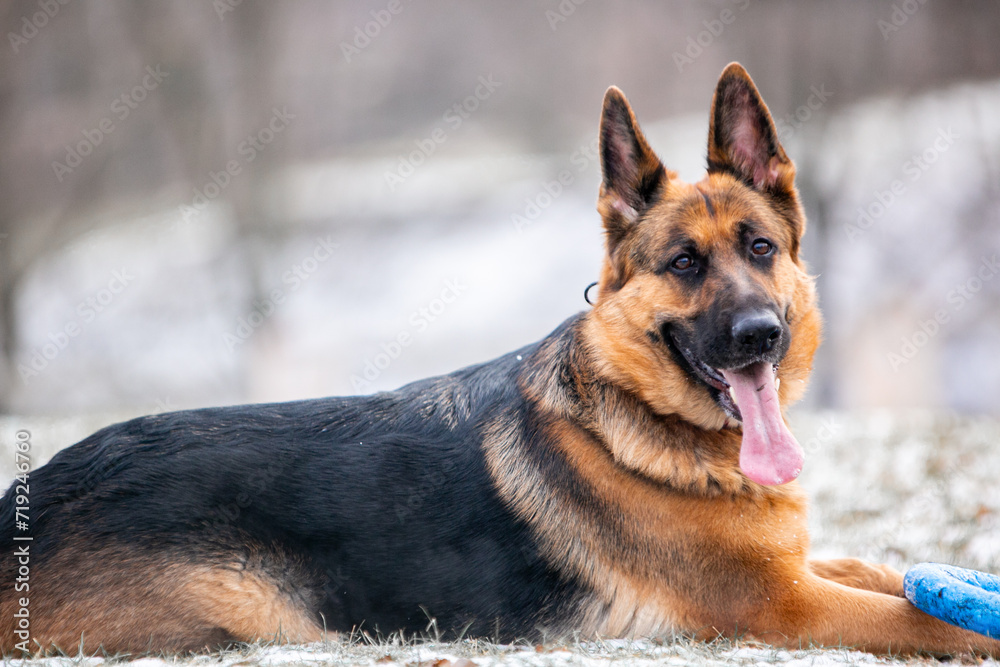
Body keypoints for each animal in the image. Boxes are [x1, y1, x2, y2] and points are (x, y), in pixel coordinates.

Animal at [5, 65, 1000, 660]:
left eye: (760, 247)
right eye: (684, 264)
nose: (757, 334)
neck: (646, 423)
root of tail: (36, 491)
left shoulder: (802, 569)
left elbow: (883, 568)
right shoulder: (783, 606)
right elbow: (911, 611)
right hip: (252, 617)